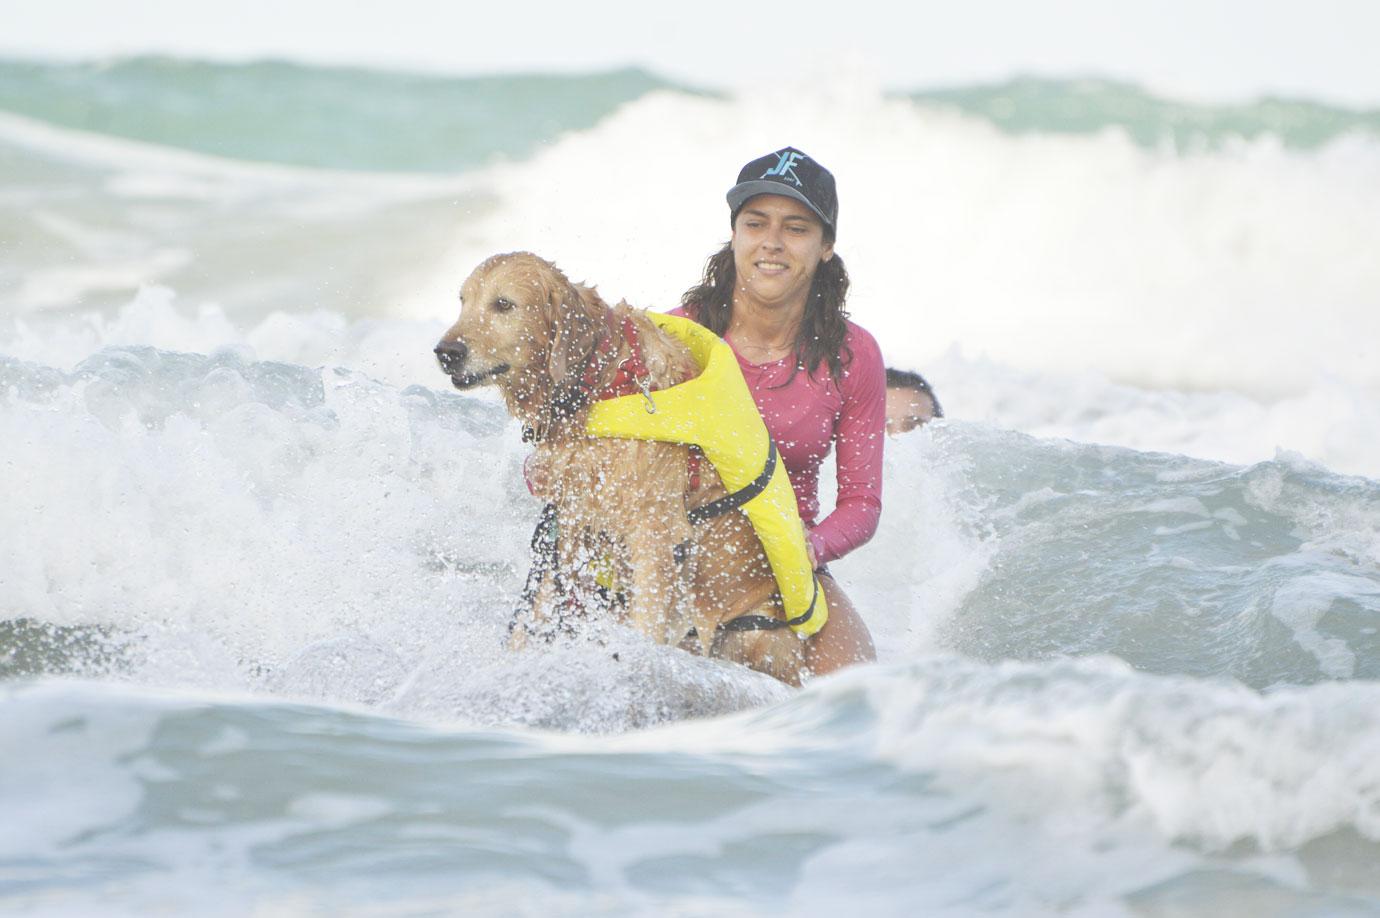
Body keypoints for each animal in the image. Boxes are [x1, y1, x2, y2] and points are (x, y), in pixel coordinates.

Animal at [436, 251, 805, 679]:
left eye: (503, 304)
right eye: (463, 301)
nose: (445, 352)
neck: (603, 381)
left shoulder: (655, 534)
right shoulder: (570, 523)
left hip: (755, 632)